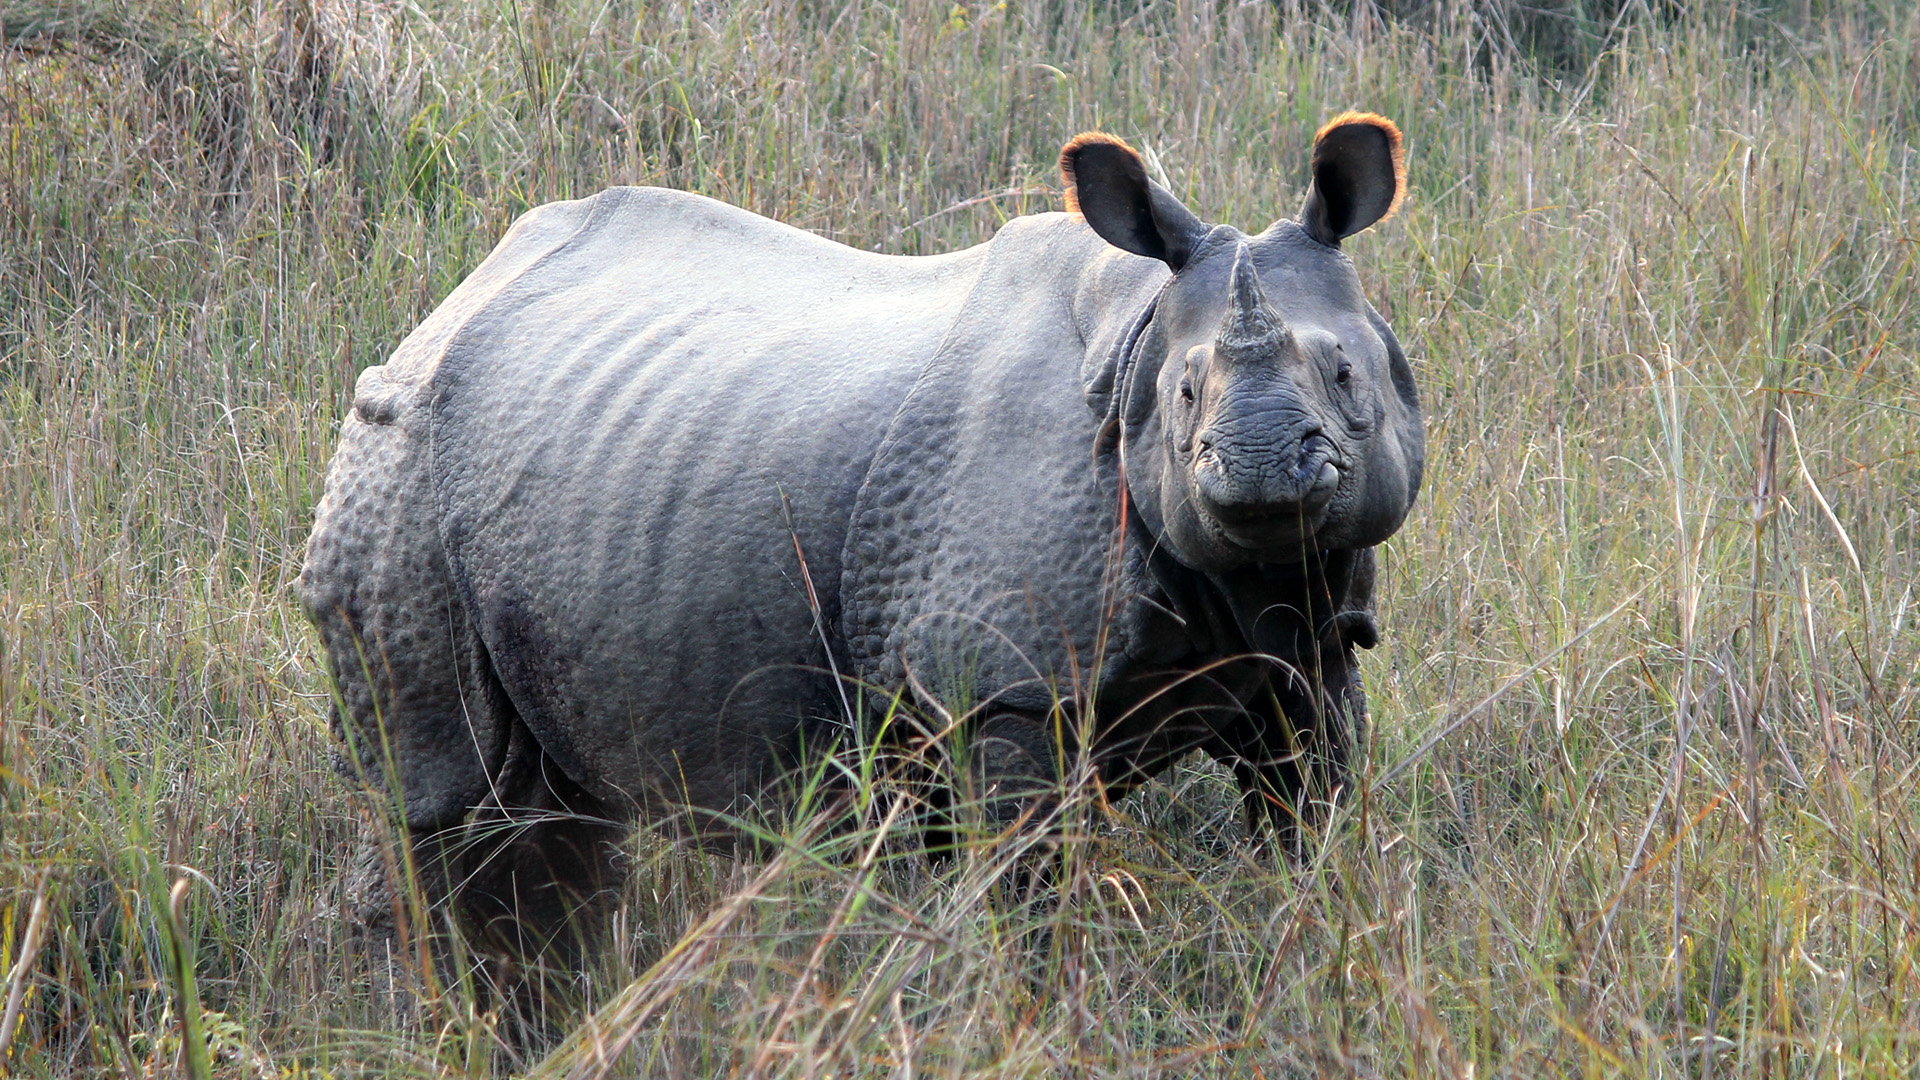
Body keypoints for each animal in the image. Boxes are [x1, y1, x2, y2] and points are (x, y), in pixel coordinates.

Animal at [300, 113, 1423, 953]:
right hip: (395, 456)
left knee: (552, 822)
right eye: (1185, 394)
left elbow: (1308, 811)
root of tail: (448, 305)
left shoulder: (1312, 642)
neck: (1137, 335)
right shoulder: (1005, 687)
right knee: (440, 800)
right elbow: (1027, 893)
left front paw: (1318, 938)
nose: (1261, 474)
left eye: (1348, 376)